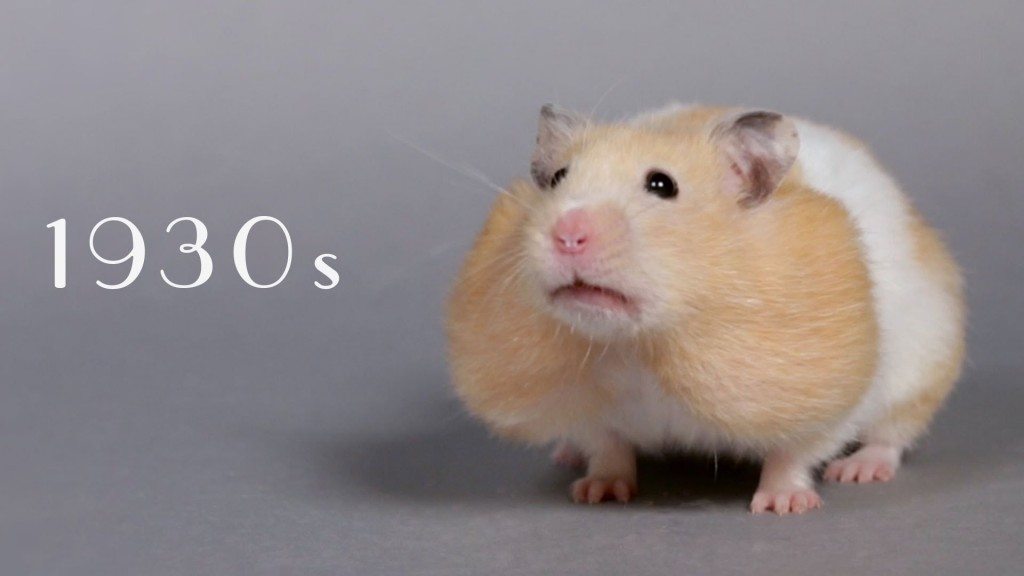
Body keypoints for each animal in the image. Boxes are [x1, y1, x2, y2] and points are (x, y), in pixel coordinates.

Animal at [446, 103, 965, 514]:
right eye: (557, 179)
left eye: (662, 185)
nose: (568, 234)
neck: (634, 347)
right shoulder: (585, 404)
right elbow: (607, 445)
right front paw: (597, 492)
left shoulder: (832, 395)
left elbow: (795, 452)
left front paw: (782, 505)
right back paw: (567, 457)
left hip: (921, 365)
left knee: (892, 435)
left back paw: (859, 470)